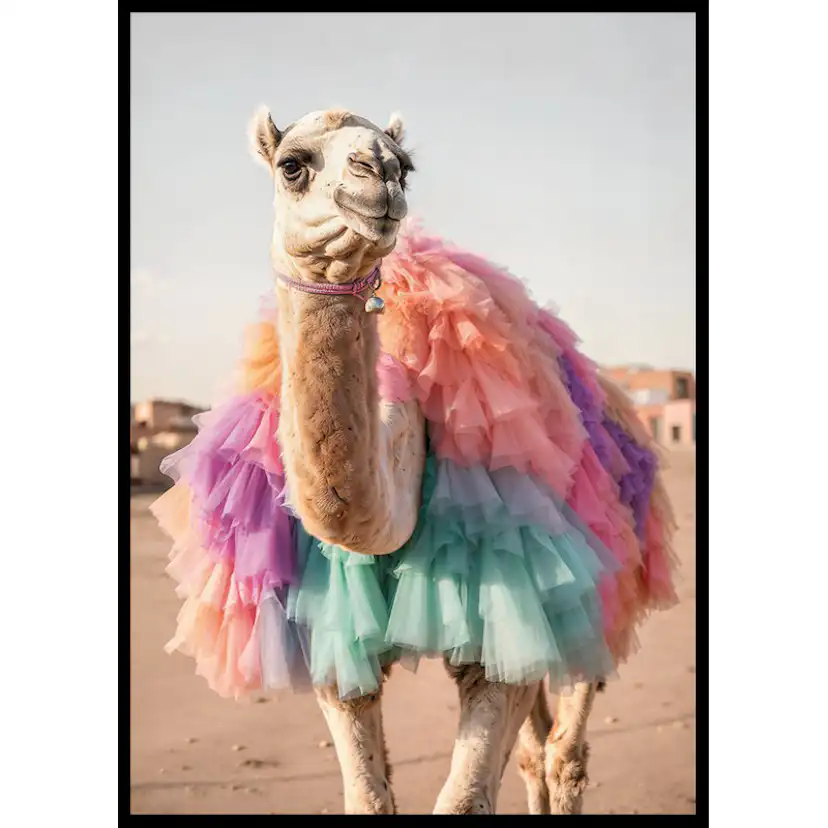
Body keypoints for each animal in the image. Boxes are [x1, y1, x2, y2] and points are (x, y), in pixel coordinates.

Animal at [151, 106, 677, 815]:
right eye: (292, 164)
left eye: (407, 162)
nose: (380, 172)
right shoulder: (336, 650)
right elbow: (369, 797)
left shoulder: (504, 629)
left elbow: (463, 799)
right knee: (537, 749)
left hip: (597, 588)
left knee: (564, 749)